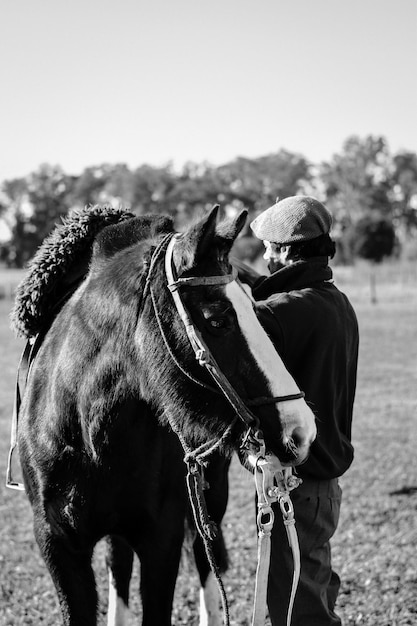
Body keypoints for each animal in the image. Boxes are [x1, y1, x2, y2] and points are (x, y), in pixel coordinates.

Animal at [11, 202, 314, 620]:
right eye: (217, 320)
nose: (300, 430)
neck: (89, 430)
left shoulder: (161, 540)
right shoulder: (57, 545)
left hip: (210, 493)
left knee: (206, 557)